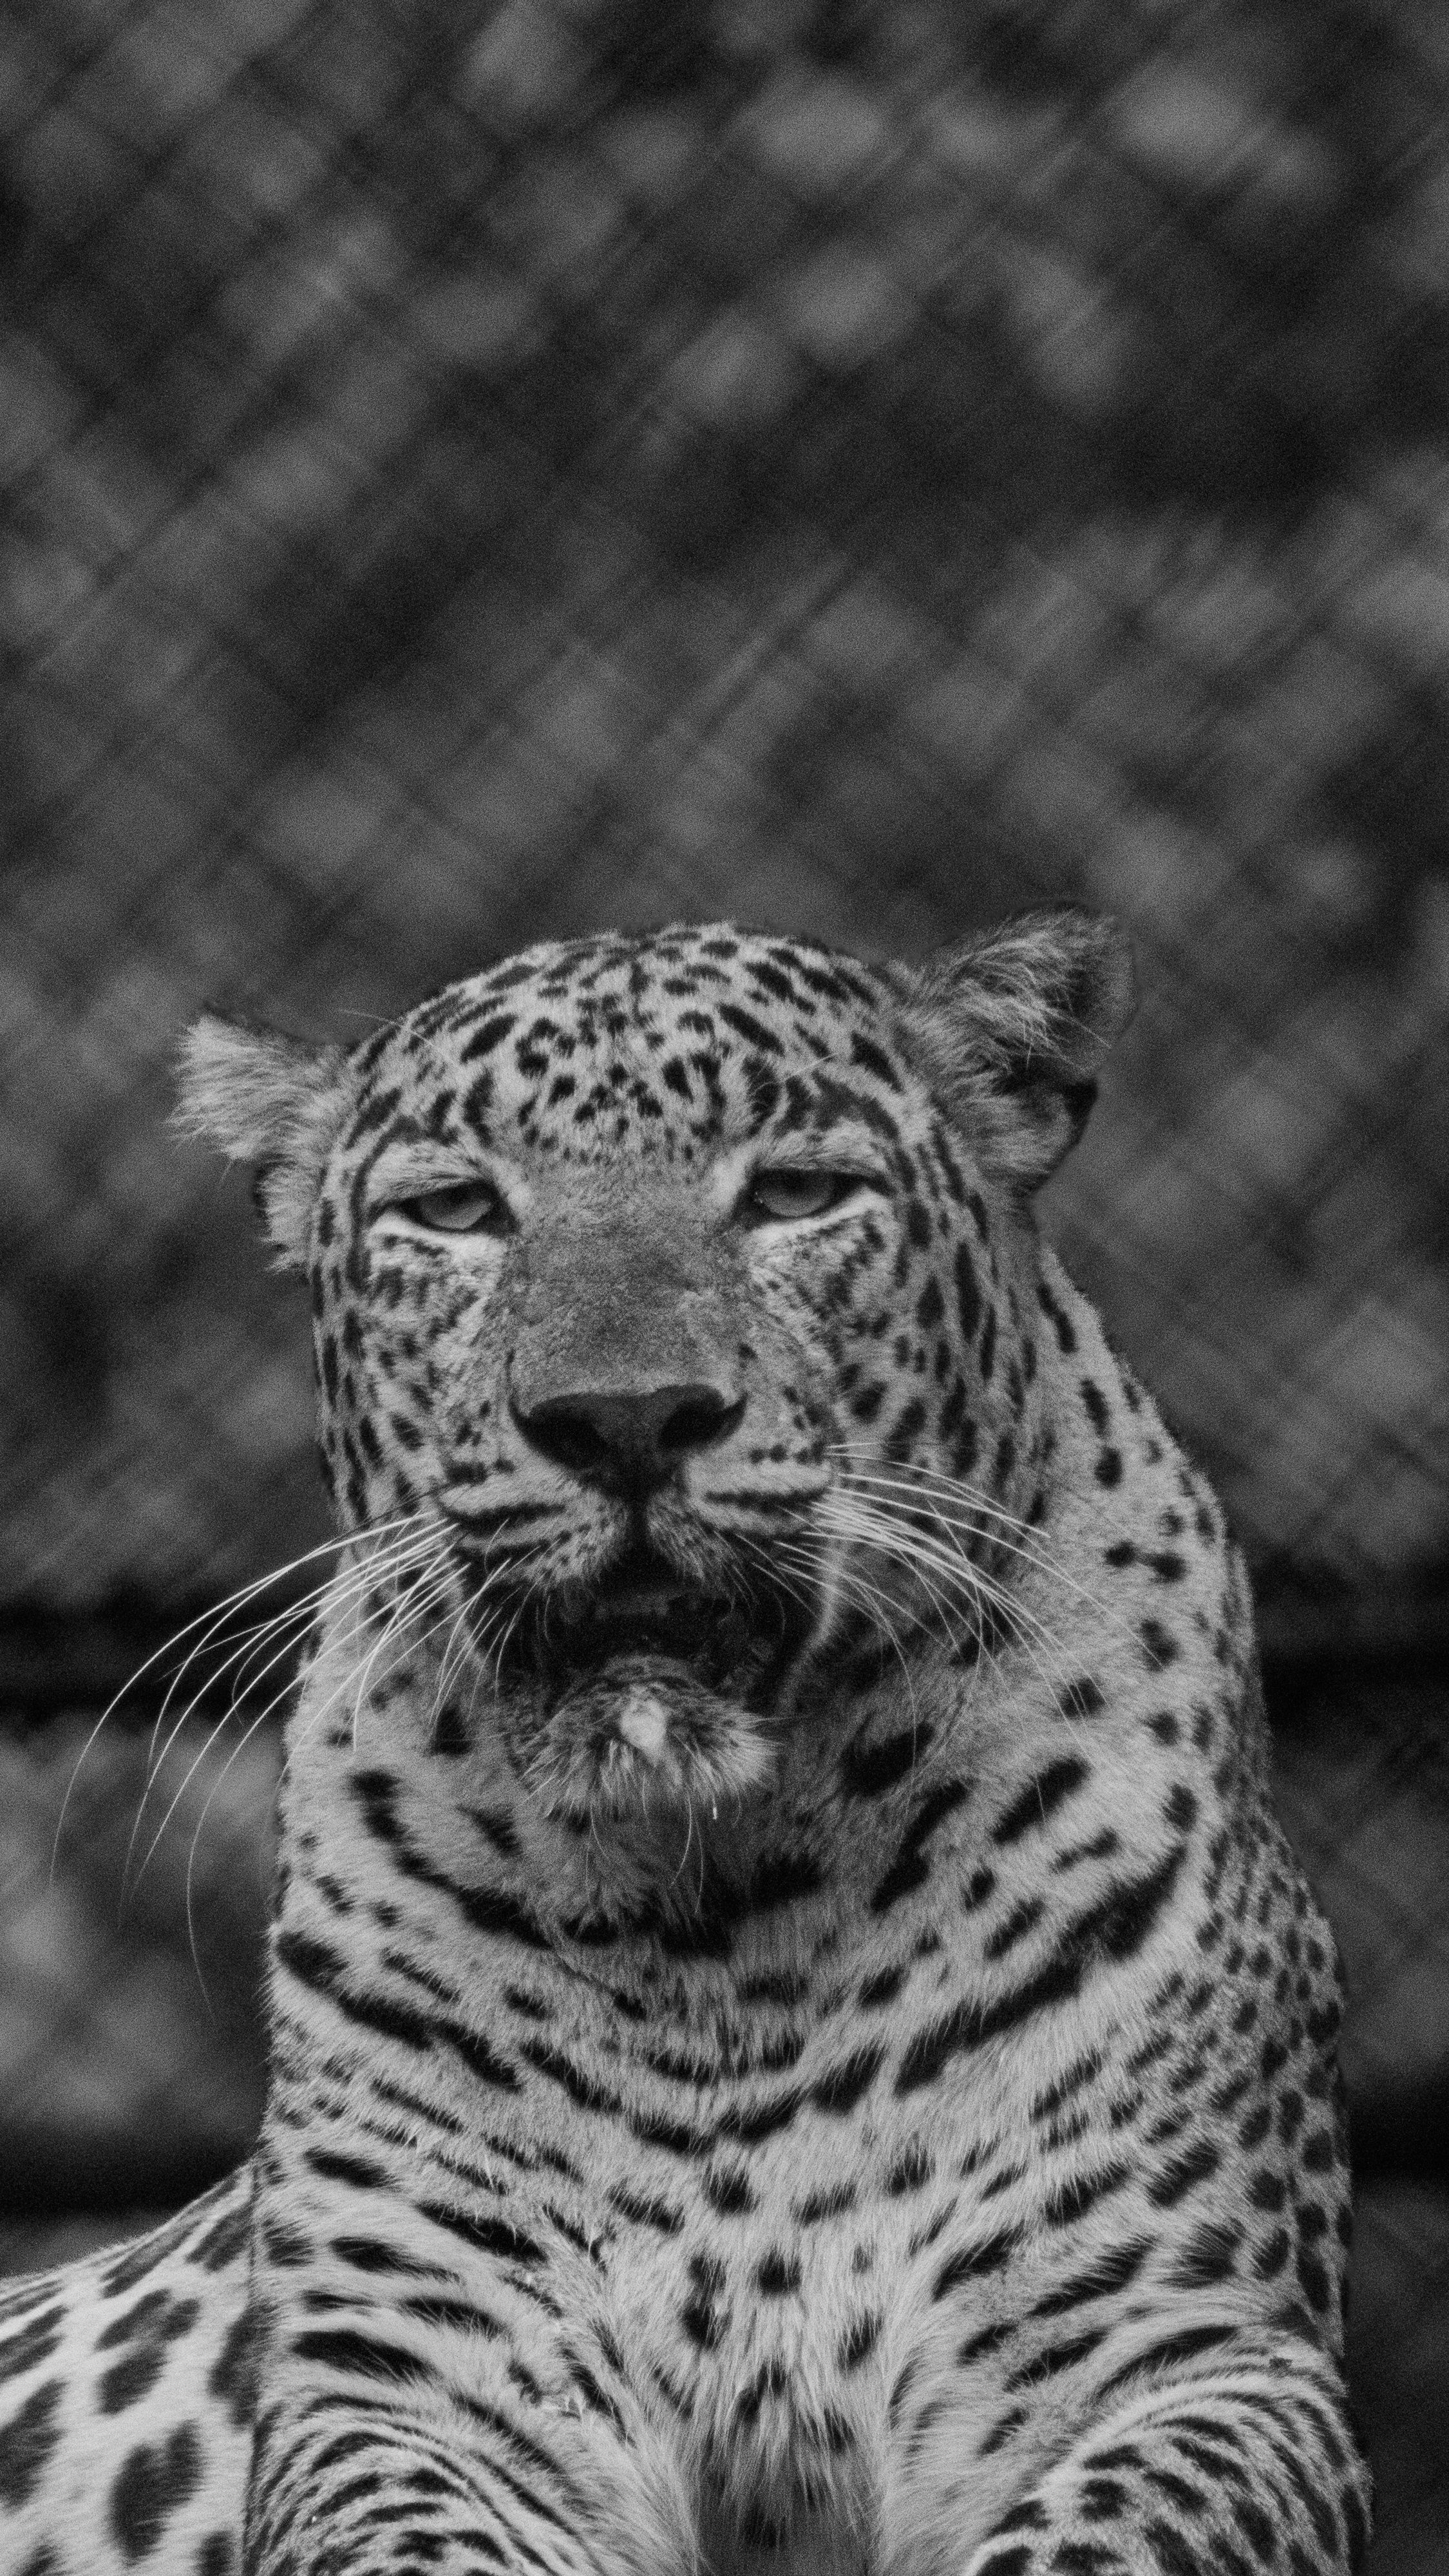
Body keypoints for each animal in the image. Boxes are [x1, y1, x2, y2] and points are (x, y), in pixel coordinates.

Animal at [0, 910, 1370, 2576]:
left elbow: (1100, 2531)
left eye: (793, 1193)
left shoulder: (1194, 2353)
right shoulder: (411, 2391)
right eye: (455, 1211)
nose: (625, 1417)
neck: (725, 1911)